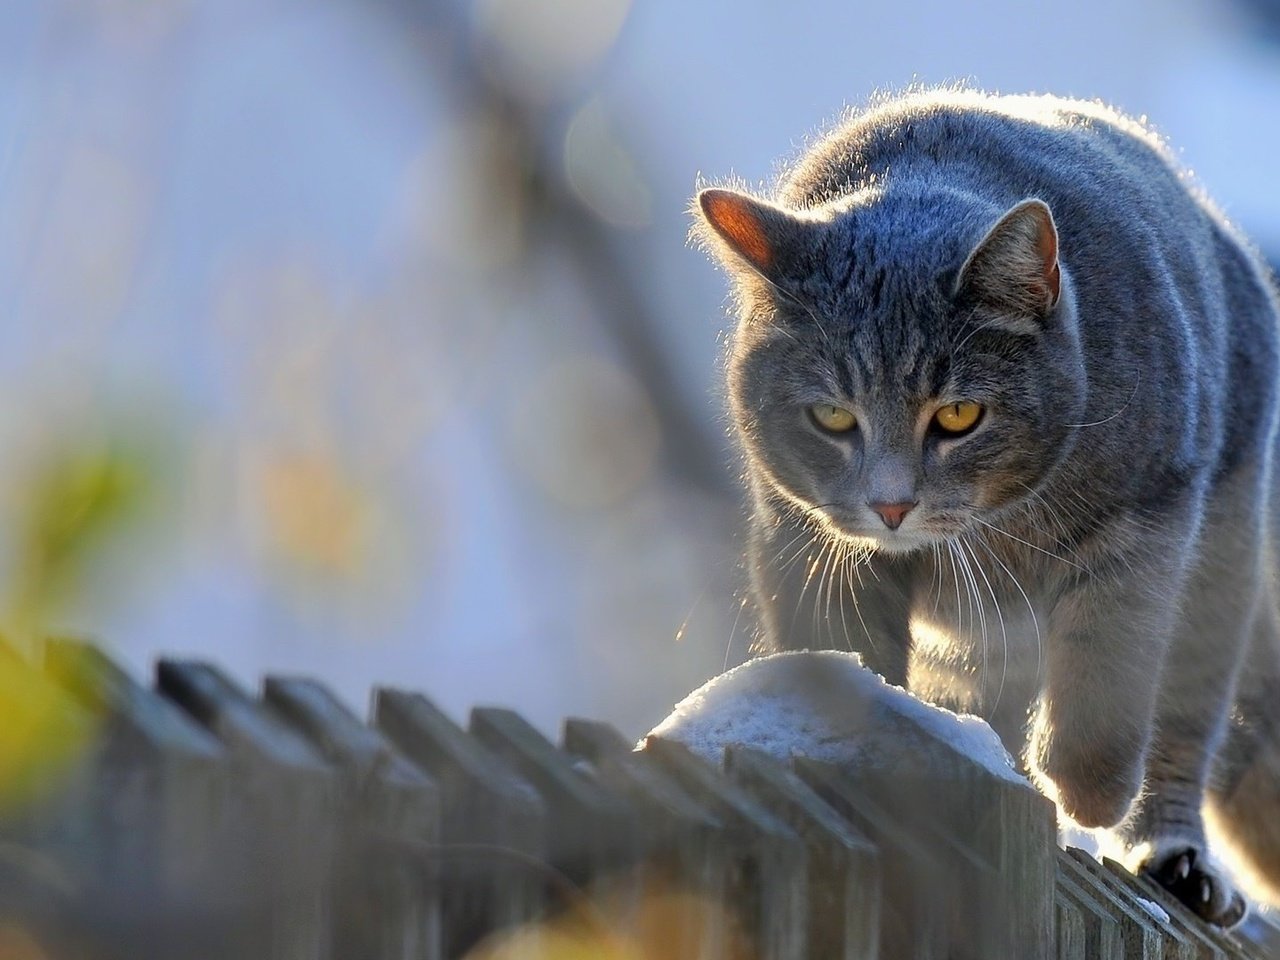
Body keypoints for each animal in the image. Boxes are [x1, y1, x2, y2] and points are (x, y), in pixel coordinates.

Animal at [696, 86, 1280, 926]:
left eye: (959, 416)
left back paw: (1173, 857)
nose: (892, 505)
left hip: (1220, 570)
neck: (996, 530)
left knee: (1182, 727)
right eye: (833, 417)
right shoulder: (806, 542)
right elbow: (849, 657)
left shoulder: (1149, 522)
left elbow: (1108, 672)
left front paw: (1088, 793)